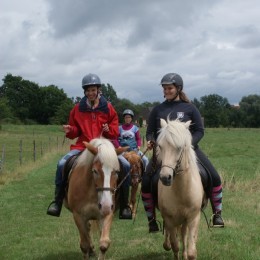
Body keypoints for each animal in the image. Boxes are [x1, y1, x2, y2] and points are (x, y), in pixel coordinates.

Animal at [157, 118, 204, 260]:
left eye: (179, 147)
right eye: (160, 146)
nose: (165, 177)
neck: (181, 192)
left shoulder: (193, 218)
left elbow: (191, 251)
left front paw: (187, 254)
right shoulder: (170, 220)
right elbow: (175, 246)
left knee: (183, 234)